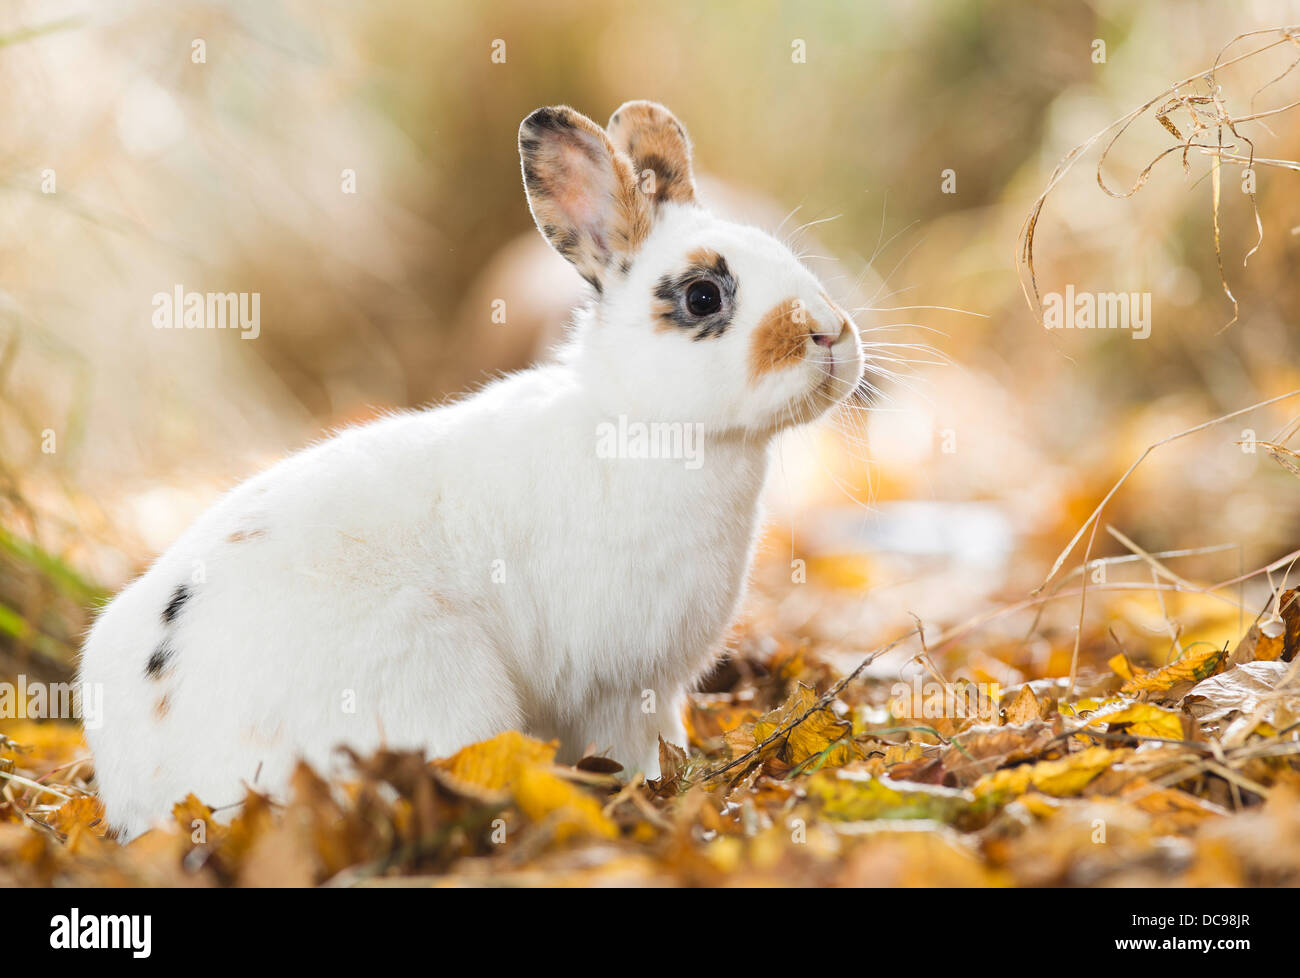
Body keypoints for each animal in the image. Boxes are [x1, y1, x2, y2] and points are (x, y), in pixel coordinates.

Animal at [78, 100, 867, 840]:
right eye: (704, 296)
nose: (830, 332)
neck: (646, 425)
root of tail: (146, 783)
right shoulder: (621, 686)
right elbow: (634, 746)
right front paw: (655, 791)